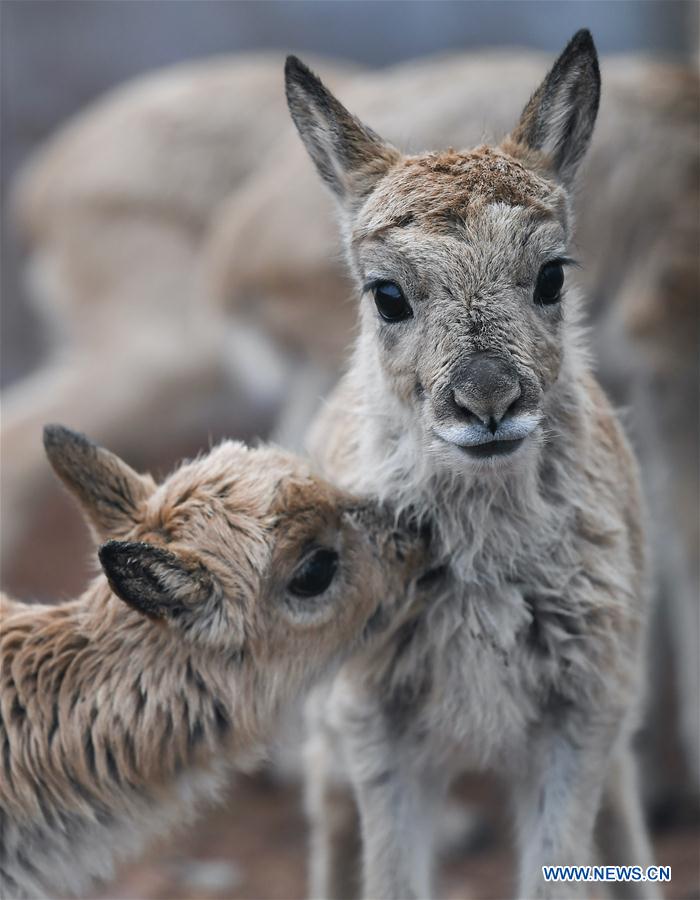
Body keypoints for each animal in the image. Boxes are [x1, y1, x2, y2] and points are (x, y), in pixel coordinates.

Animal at [286, 30, 659, 899]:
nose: (487, 402)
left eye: (552, 275)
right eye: (386, 294)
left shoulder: (581, 722)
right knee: (330, 829)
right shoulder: (378, 734)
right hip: (328, 744)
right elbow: (391, 878)